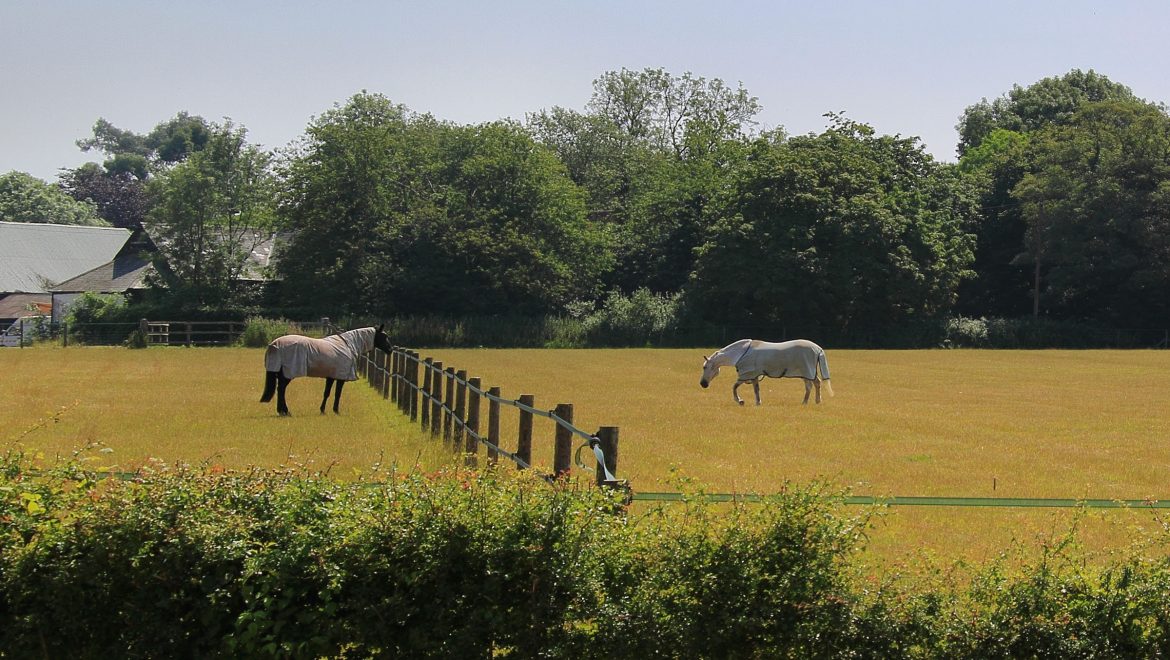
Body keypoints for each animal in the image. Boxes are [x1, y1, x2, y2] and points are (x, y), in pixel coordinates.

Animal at [260, 324, 392, 416]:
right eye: (384, 336)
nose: (390, 350)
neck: (348, 344)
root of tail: (274, 344)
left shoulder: (331, 376)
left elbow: (326, 393)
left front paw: (322, 410)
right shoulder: (340, 377)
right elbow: (337, 394)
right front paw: (336, 410)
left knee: (280, 389)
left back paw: (282, 411)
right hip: (288, 374)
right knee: (281, 389)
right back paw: (285, 411)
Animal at [700, 338, 833, 406]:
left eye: (705, 367)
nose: (703, 384)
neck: (740, 353)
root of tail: (818, 348)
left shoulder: (746, 374)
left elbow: (734, 387)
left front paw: (740, 401)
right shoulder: (753, 375)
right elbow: (756, 390)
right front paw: (758, 403)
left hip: (806, 372)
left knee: (810, 386)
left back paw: (805, 402)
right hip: (808, 373)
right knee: (816, 383)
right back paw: (816, 401)